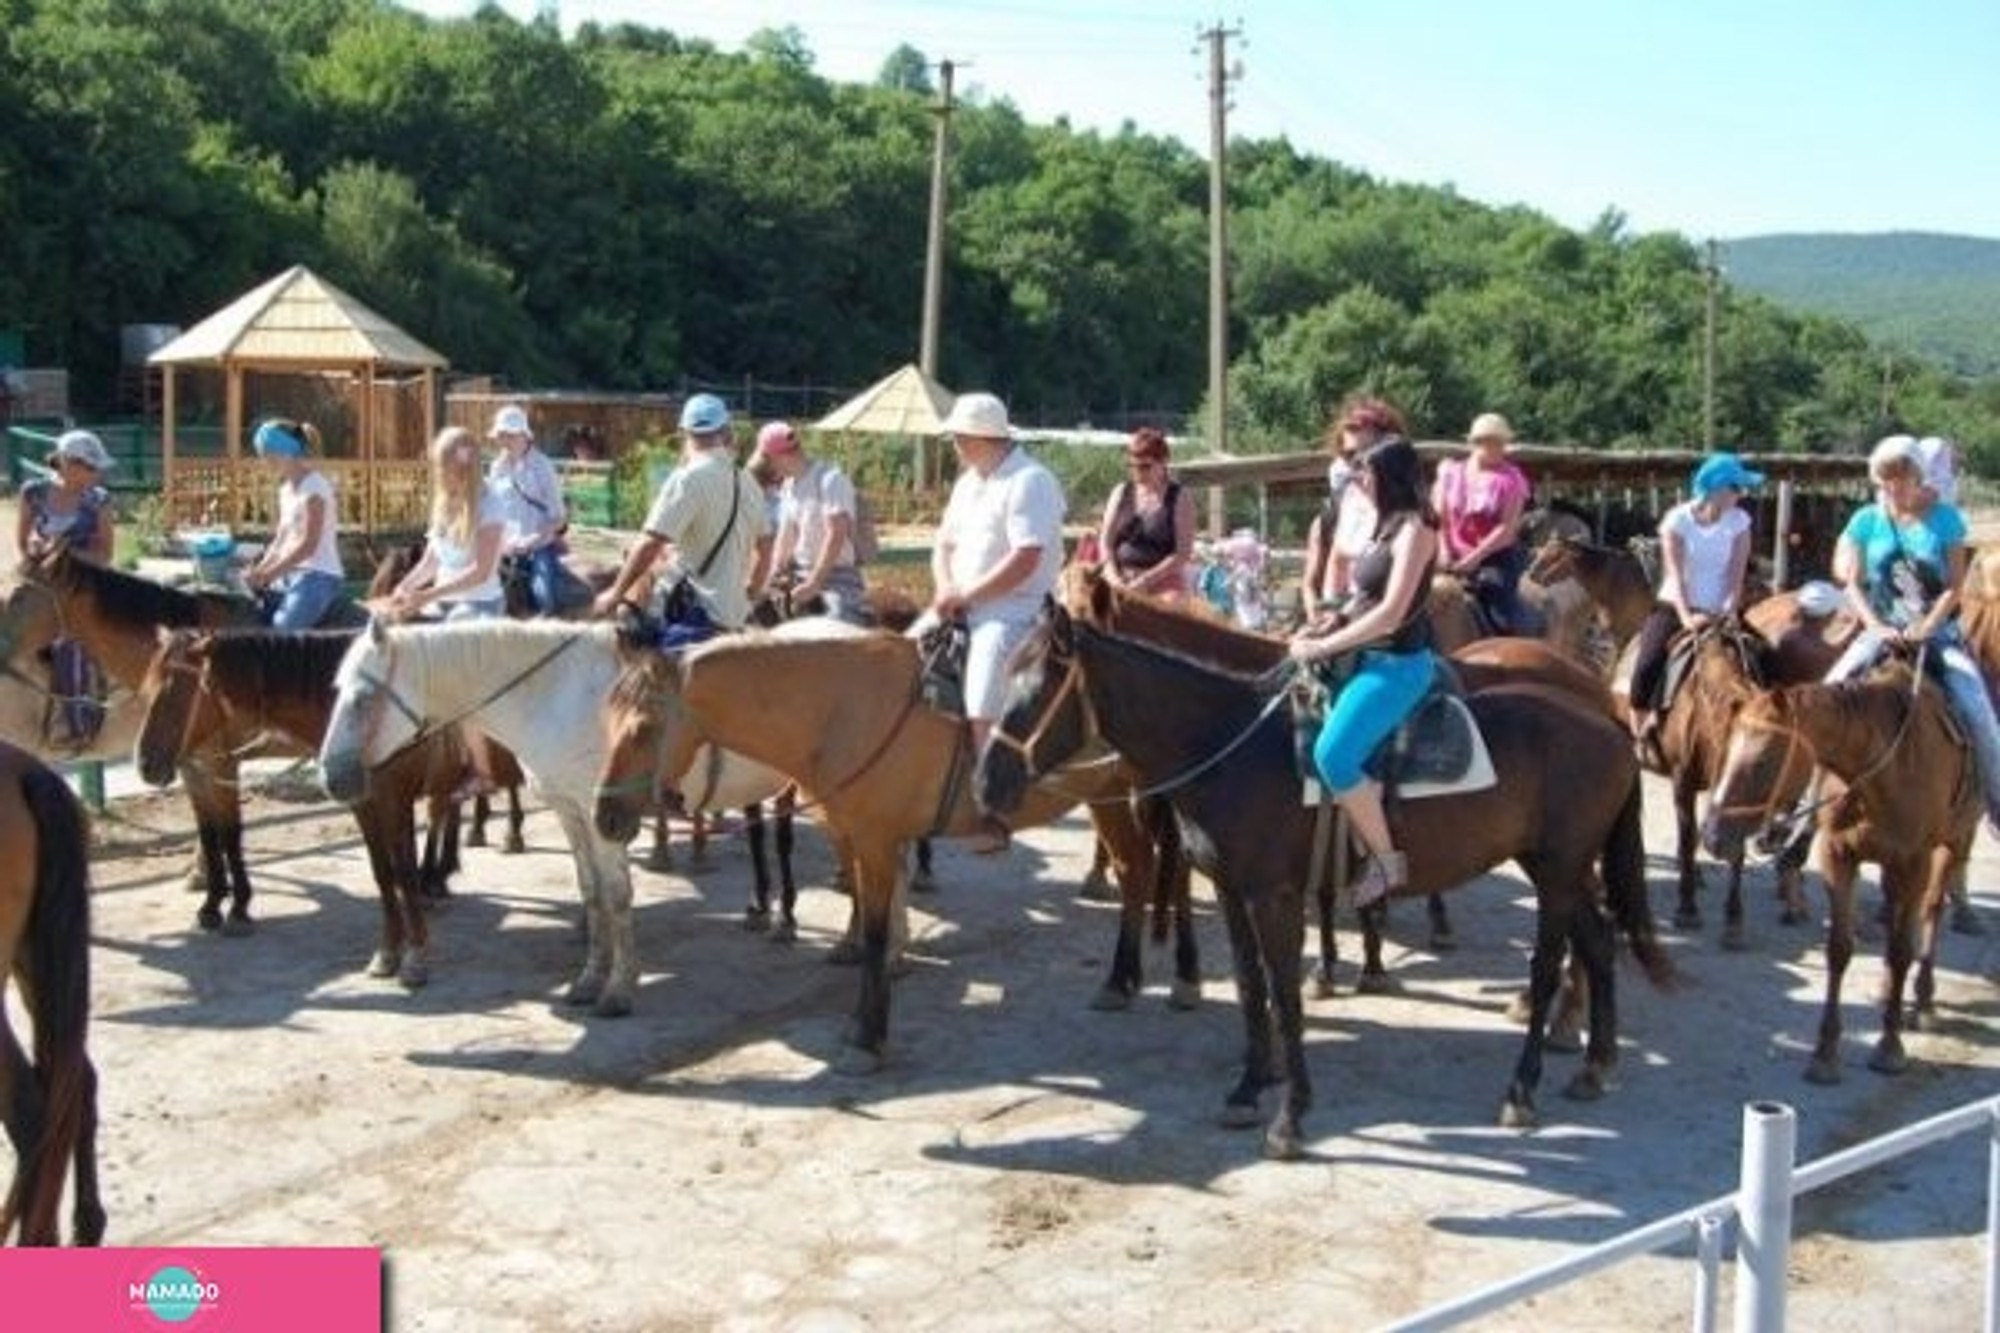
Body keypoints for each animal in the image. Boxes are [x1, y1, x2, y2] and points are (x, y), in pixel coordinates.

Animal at [972, 576, 1672, 1160]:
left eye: (1035, 688)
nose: (985, 785)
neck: (1232, 745)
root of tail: (1606, 720)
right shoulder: (1231, 890)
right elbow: (1251, 989)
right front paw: (1249, 1088)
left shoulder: (1274, 895)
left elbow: (1284, 994)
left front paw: (1290, 1115)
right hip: (1560, 867)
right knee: (1598, 943)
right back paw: (1593, 1067)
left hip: (1558, 869)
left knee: (1551, 962)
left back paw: (1523, 1088)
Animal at [1696, 660, 1976, 1088]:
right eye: (1724, 752)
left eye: (1762, 762)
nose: (1712, 837)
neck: (1880, 770)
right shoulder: (1838, 857)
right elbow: (1839, 950)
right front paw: (1825, 1054)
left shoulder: (1915, 861)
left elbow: (1900, 950)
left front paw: (1889, 1047)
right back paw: (1887, 992)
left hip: (1953, 843)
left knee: (1930, 911)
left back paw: (1924, 1000)